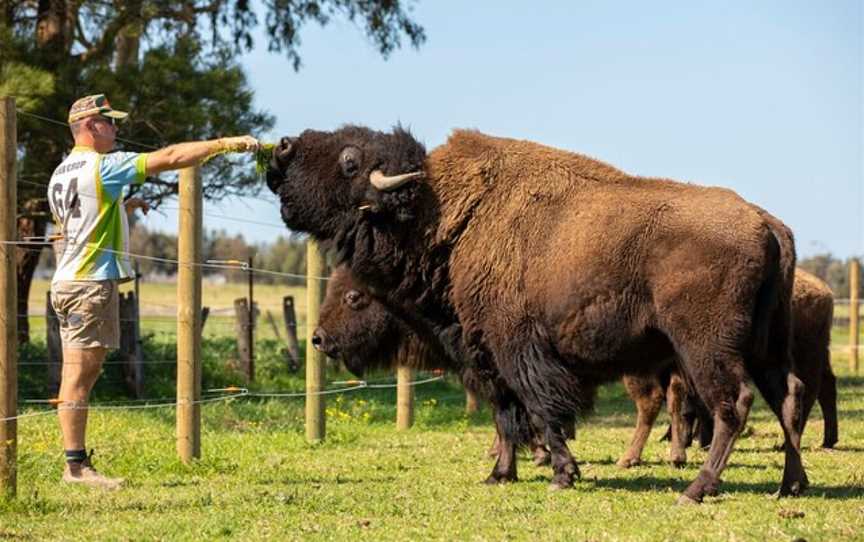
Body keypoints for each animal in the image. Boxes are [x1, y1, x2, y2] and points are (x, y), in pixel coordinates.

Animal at [266, 124, 808, 506]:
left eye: (349, 159)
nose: (282, 148)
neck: (441, 216)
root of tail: (768, 223)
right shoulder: (485, 353)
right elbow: (506, 414)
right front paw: (499, 475)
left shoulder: (517, 349)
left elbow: (542, 410)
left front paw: (562, 475)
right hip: (766, 344)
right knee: (788, 395)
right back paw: (791, 485)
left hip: (706, 346)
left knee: (734, 404)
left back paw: (697, 488)